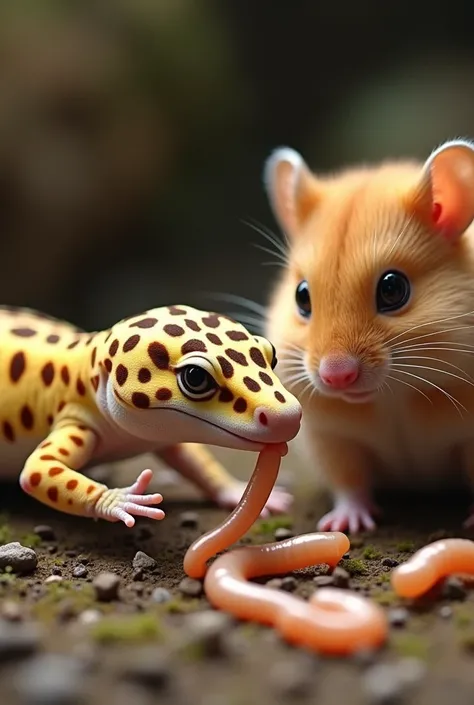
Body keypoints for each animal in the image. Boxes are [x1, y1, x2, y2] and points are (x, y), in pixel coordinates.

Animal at [262, 139, 474, 532]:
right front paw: (345, 526)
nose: (336, 377)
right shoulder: (332, 438)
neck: (393, 396)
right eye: (301, 296)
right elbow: (349, 482)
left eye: (393, 289)